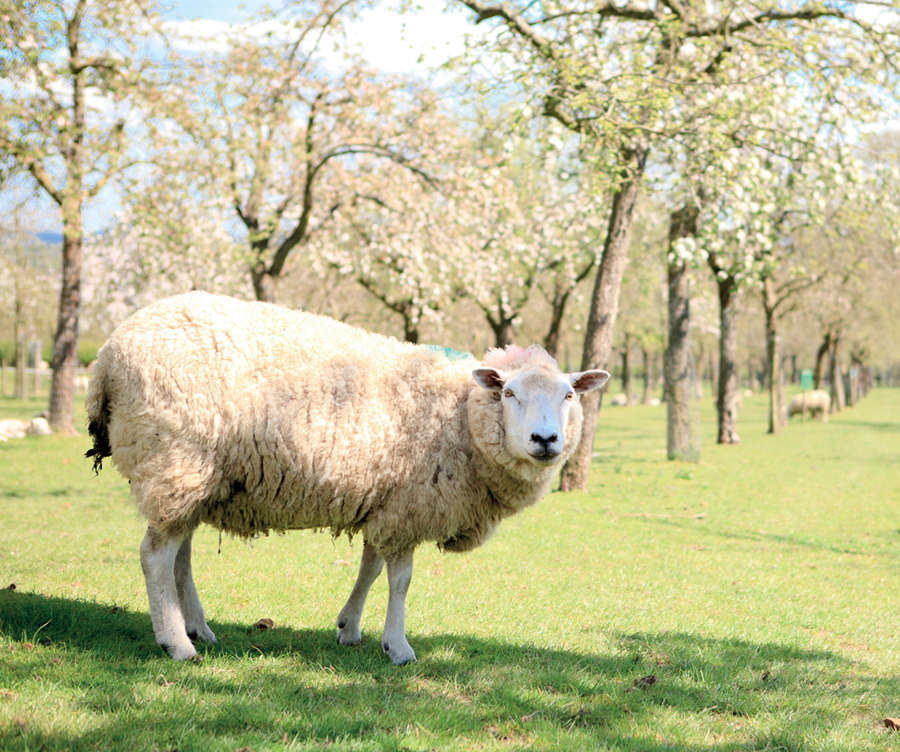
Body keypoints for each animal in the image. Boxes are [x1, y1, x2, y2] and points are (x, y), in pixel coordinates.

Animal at [86, 294, 612, 664]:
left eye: (569, 395)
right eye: (508, 393)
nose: (546, 440)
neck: (457, 413)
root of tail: (106, 357)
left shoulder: (384, 499)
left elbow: (370, 566)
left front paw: (350, 628)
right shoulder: (408, 504)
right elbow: (400, 578)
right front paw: (398, 645)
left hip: (193, 476)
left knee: (180, 555)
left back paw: (198, 627)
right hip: (176, 458)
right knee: (156, 557)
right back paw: (177, 643)